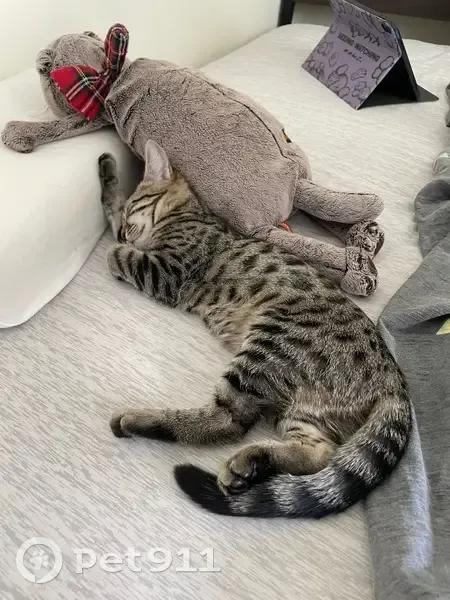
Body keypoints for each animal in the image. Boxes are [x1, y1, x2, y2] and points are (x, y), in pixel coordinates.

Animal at [99, 139, 411, 518]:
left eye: (136, 206)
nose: (126, 232)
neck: (186, 213)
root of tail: (394, 379)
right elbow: (111, 212)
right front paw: (107, 174)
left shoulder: (167, 271)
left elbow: (117, 252)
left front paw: (116, 237)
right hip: (307, 411)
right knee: (318, 453)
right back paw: (254, 462)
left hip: (268, 344)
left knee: (229, 420)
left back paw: (137, 421)